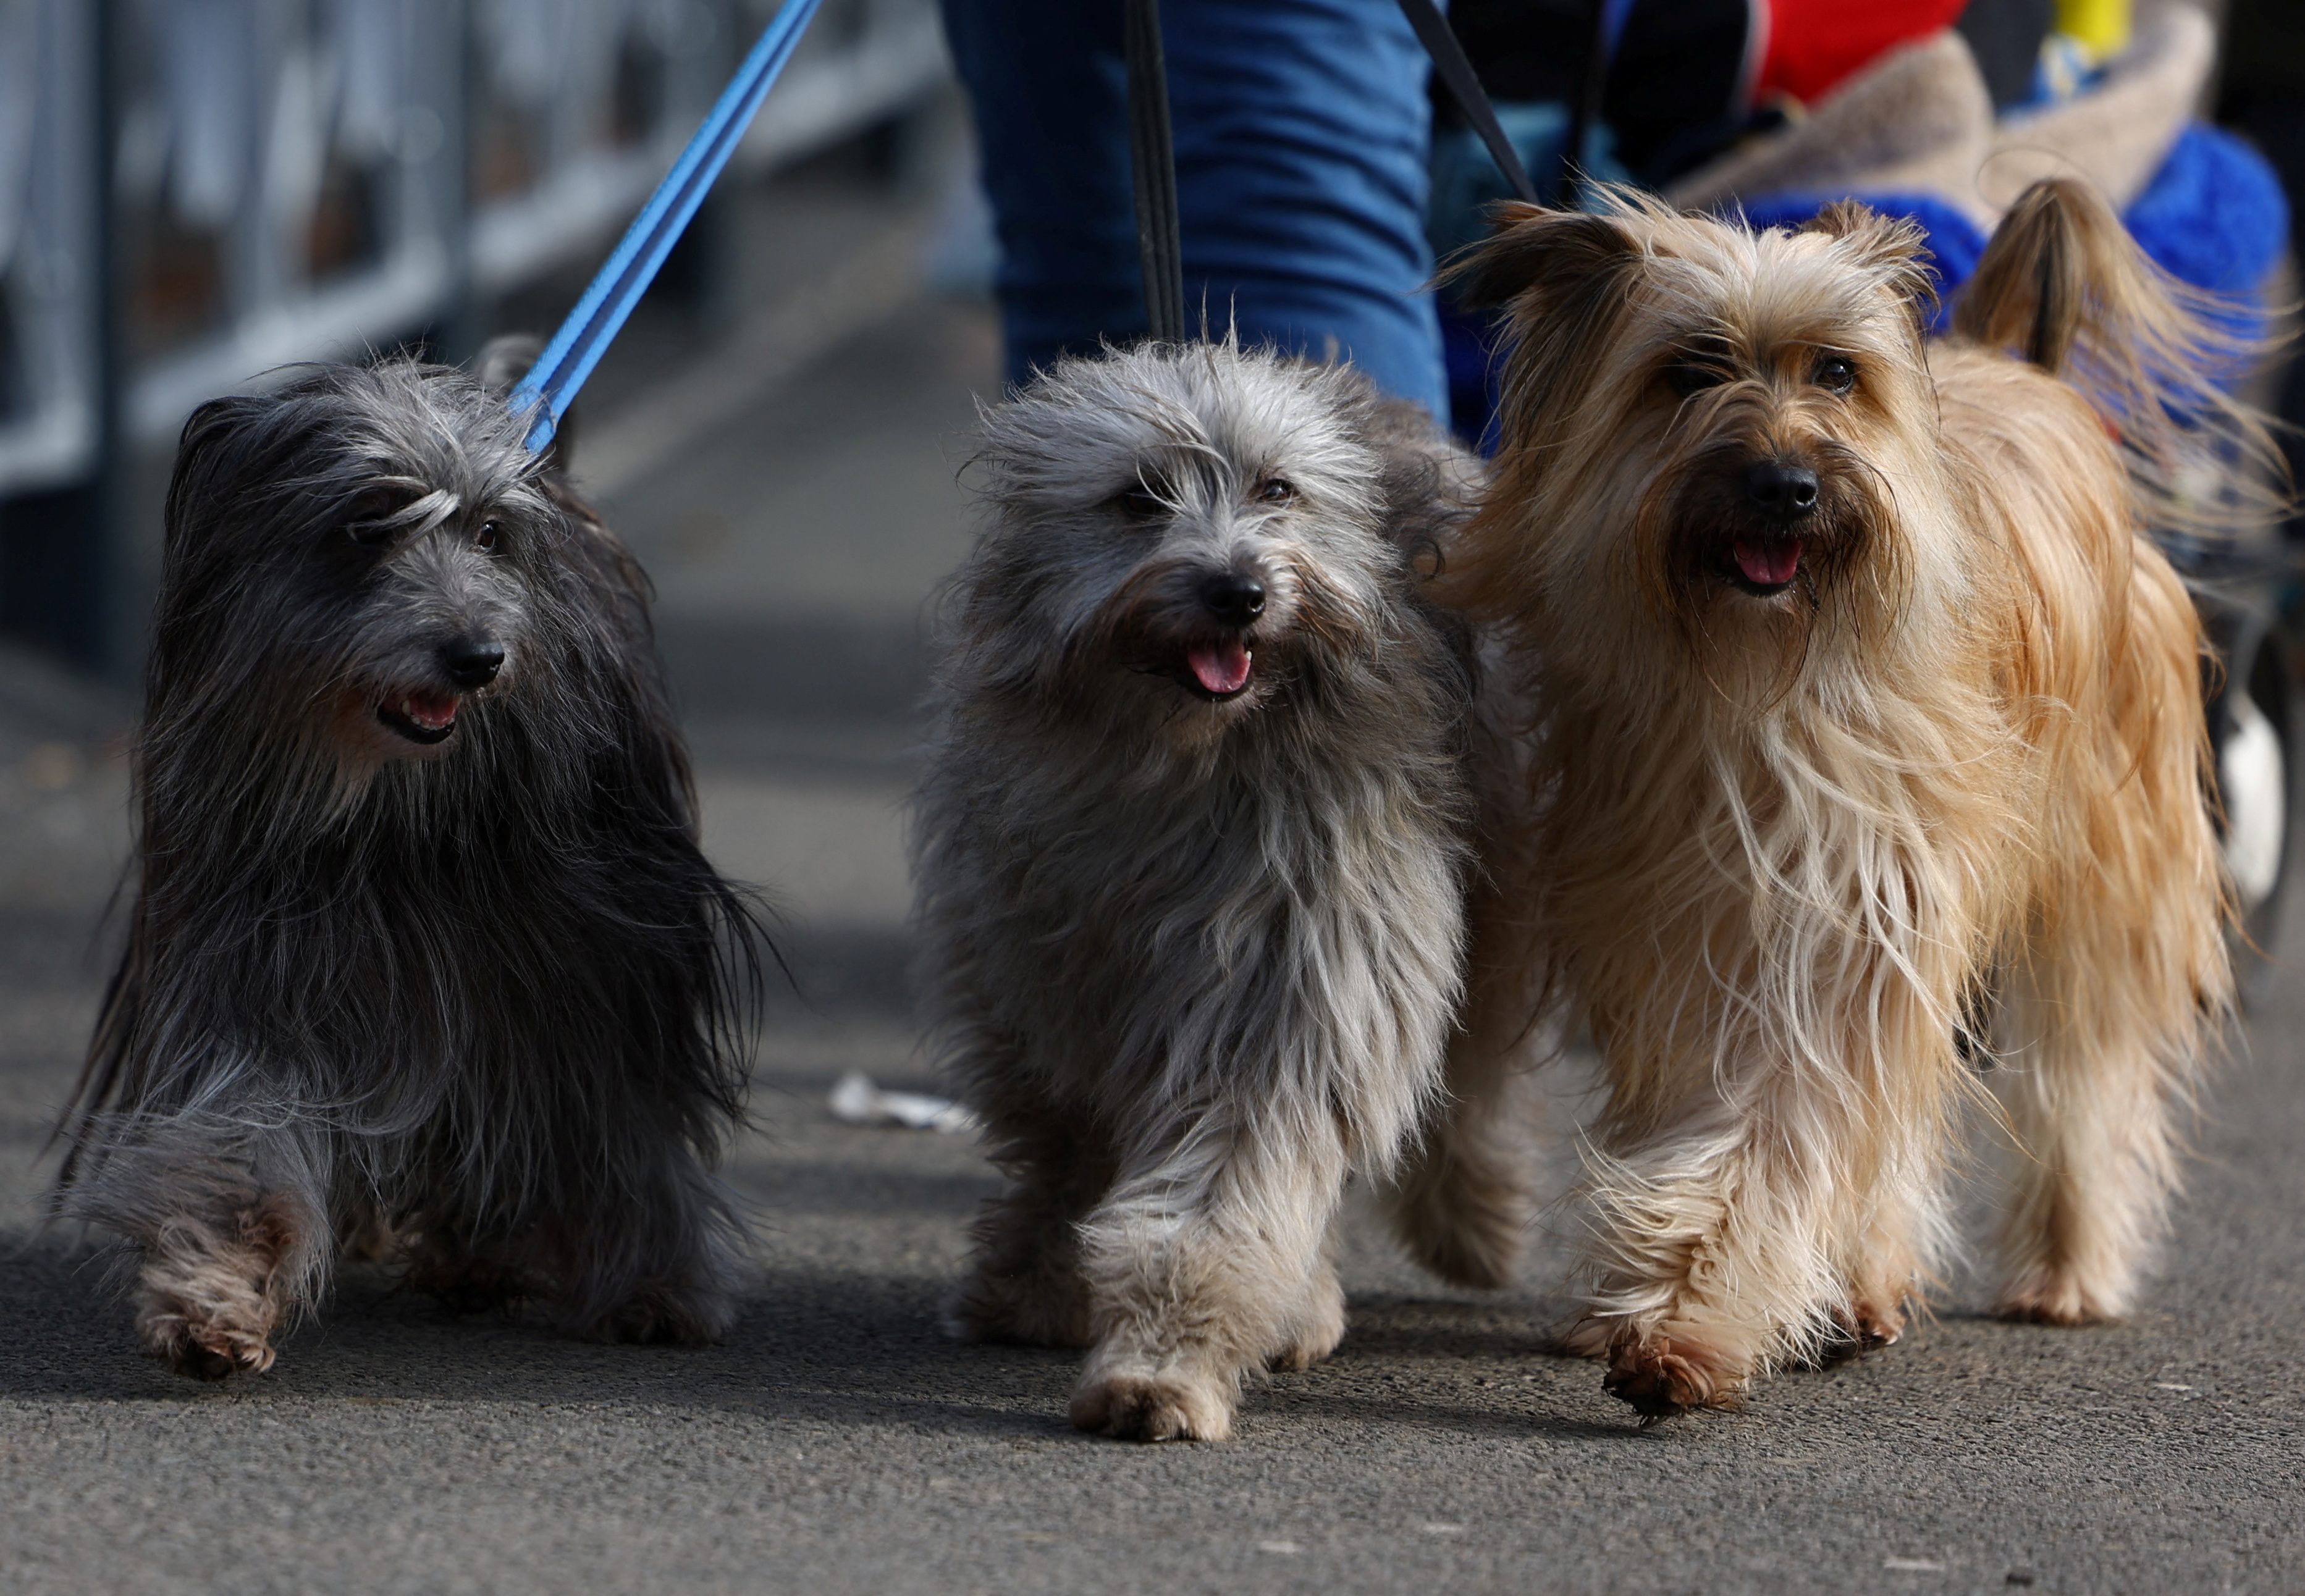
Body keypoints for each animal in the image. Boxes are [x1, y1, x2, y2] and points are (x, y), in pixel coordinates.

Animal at [51, 355, 765, 1372]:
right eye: (366, 526)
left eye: (491, 533)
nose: (477, 657)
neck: (391, 812)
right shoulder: (263, 973)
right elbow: (240, 1136)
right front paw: (214, 1294)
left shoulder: (590, 971)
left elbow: (615, 1127)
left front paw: (655, 1284)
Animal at [917, 343, 1475, 1437]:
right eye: (1138, 498)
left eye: (1277, 490)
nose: (1237, 590)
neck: (1184, 763)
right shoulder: (1039, 969)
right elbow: (1063, 1144)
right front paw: (1045, 1288)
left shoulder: (1295, 969)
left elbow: (1228, 1176)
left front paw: (1161, 1367)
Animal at [1410, 183, 2259, 1418]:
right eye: (1689, 370)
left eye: (1838, 373)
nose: (1786, 487)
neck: (1758, 688)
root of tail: (2024, 366)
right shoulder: (1673, 925)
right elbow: (1713, 1113)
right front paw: (1651, 1299)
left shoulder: (1857, 917)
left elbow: (1781, 1127)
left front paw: (1689, 1324)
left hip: (2109, 860)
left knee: (2083, 1072)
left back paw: (2060, 1271)